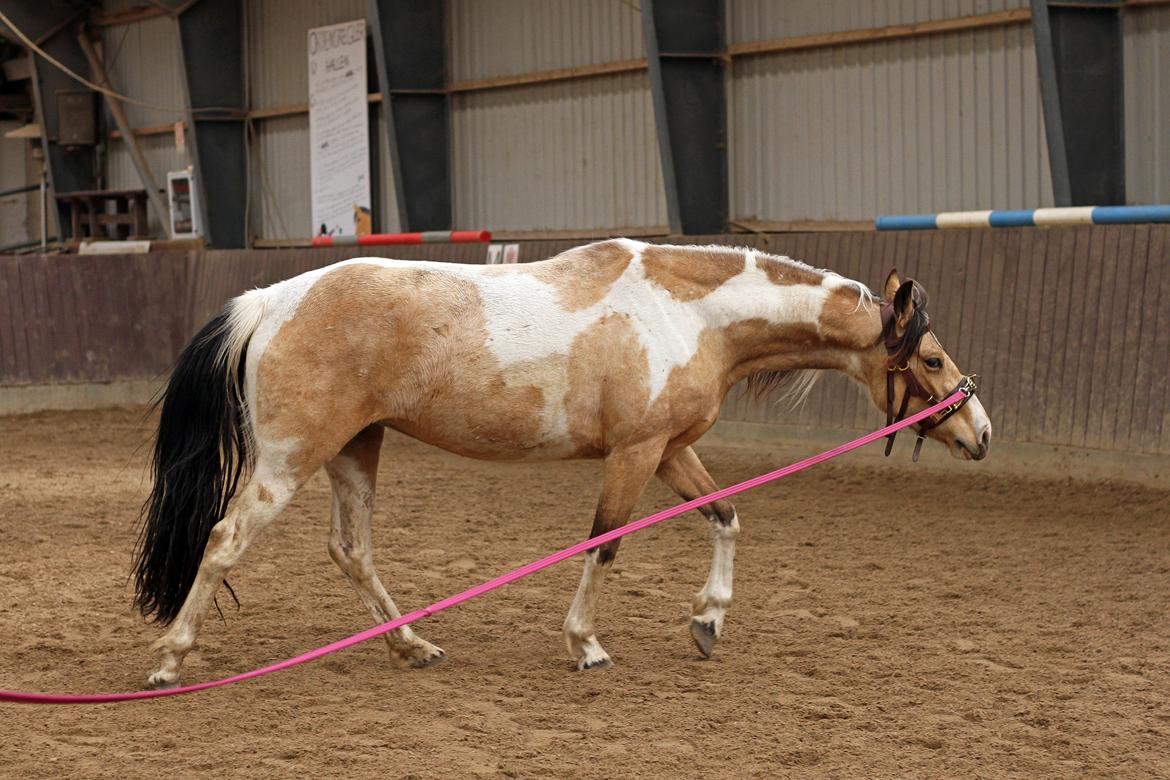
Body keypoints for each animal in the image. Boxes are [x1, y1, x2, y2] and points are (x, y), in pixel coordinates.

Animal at [132, 236, 992, 682]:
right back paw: (171, 659)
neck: (687, 313)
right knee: (223, 541)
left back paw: (413, 645)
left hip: (355, 451)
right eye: (935, 360)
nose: (981, 432)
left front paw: (708, 620)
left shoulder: (670, 450)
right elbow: (604, 543)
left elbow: (725, 515)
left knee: (352, 551)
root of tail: (270, 300)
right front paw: (586, 644)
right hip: (290, 460)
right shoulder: (634, 455)